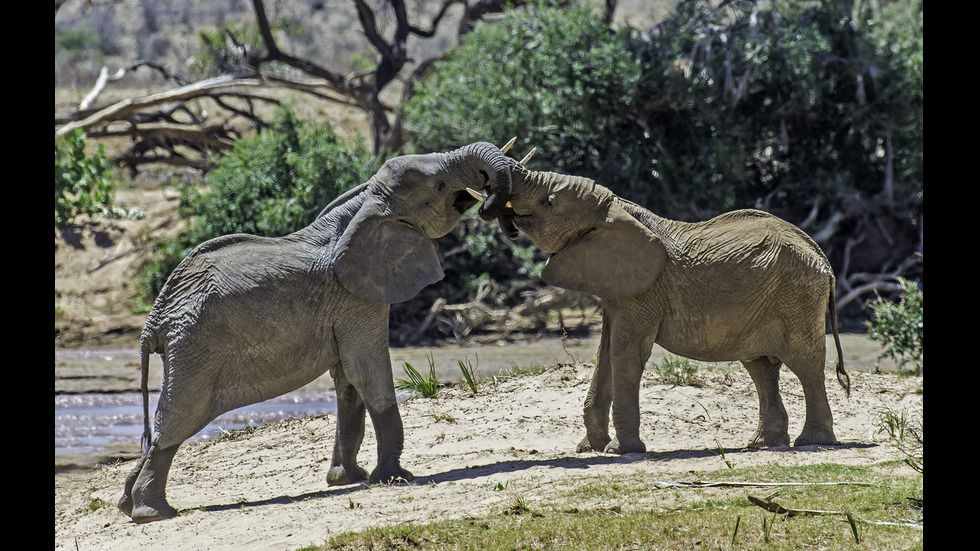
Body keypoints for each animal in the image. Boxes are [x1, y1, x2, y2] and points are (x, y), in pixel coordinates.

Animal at [117, 140, 512, 524]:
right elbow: (367, 370)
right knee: (178, 417)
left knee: (166, 421)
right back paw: (153, 514)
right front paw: (395, 478)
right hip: (197, 346)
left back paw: (127, 504)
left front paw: (348, 479)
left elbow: (348, 379)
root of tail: (155, 318)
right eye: (440, 186)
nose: (490, 198)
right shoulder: (357, 297)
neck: (369, 201)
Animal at [478, 154, 848, 458]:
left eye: (550, 201)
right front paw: (589, 448)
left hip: (798, 294)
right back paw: (762, 444)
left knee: (805, 363)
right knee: (760, 367)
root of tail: (822, 256)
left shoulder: (644, 291)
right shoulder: (617, 288)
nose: (496, 208)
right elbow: (605, 352)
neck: (616, 207)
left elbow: (626, 352)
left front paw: (619, 450)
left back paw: (811, 442)